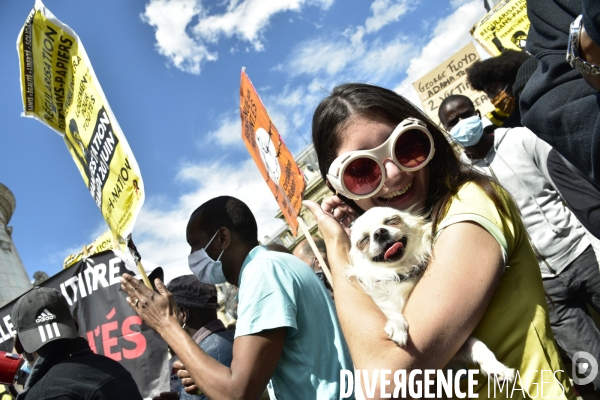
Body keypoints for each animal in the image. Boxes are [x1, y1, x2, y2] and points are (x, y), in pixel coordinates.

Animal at [346, 206, 516, 382]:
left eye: (392, 220)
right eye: (364, 240)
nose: (380, 232)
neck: (402, 273)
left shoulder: (450, 349)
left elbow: (477, 344)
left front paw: (497, 367)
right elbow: (393, 313)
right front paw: (397, 325)